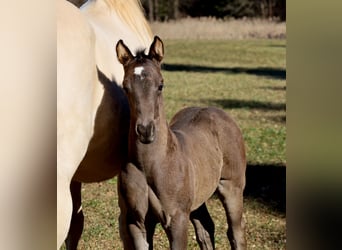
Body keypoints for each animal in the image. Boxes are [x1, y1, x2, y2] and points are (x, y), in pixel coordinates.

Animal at [116, 35, 247, 250]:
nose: (145, 131)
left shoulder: (177, 219)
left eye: (161, 85)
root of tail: (218, 112)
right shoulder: (137, 222)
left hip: (232, 186)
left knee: (236, 231)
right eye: (125, 87)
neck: (150, 165)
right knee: (205, 229)